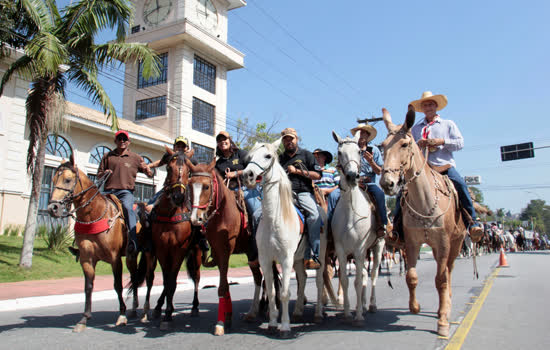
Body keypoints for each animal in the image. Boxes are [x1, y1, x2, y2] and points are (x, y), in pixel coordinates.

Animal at [47, 154, 140, 332]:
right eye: (53, 178)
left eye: (68, 180)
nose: (52, 208)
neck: (94, 214)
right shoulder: (87, 259)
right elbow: (88, 286)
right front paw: (84, 318)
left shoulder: (115, 258)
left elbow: (117, 285)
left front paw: (122, 314)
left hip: (132, 256)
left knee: (134, 276)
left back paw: (134, 308)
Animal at [185, 159, 266, 336]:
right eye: (189, 185)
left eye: (206, 187)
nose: (195, 219)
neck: (223, 213)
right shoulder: (216, 250)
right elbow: (225, 285)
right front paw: (227, 317)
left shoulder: (225, 250)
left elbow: (222, 287)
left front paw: (220, 323)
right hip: (252, 254)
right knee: (260, 277)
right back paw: (256, 310)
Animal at [316, 131, 386, 326]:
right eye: (340, 152)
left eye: (359, 152)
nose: (352, 176)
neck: (351, 210)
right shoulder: (341, 249)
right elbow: (346, 280)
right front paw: (348, 313)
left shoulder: (360, 248)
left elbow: (358, 280)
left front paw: (359, 315)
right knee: (363, 275)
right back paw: (361, 304)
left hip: (378, 246)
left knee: (373, 275)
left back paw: (371, 305)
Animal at [380, 106, 470, 336]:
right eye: (382, 146)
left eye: (404, 144)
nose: (387, 183)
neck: (424, 202)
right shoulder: (412, 243)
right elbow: (411, 276)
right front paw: (415, 306)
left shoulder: (444, 242)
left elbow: (441, 279)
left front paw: (443, 322)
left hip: (456, 243)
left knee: (448, 271)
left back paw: (446, 305)